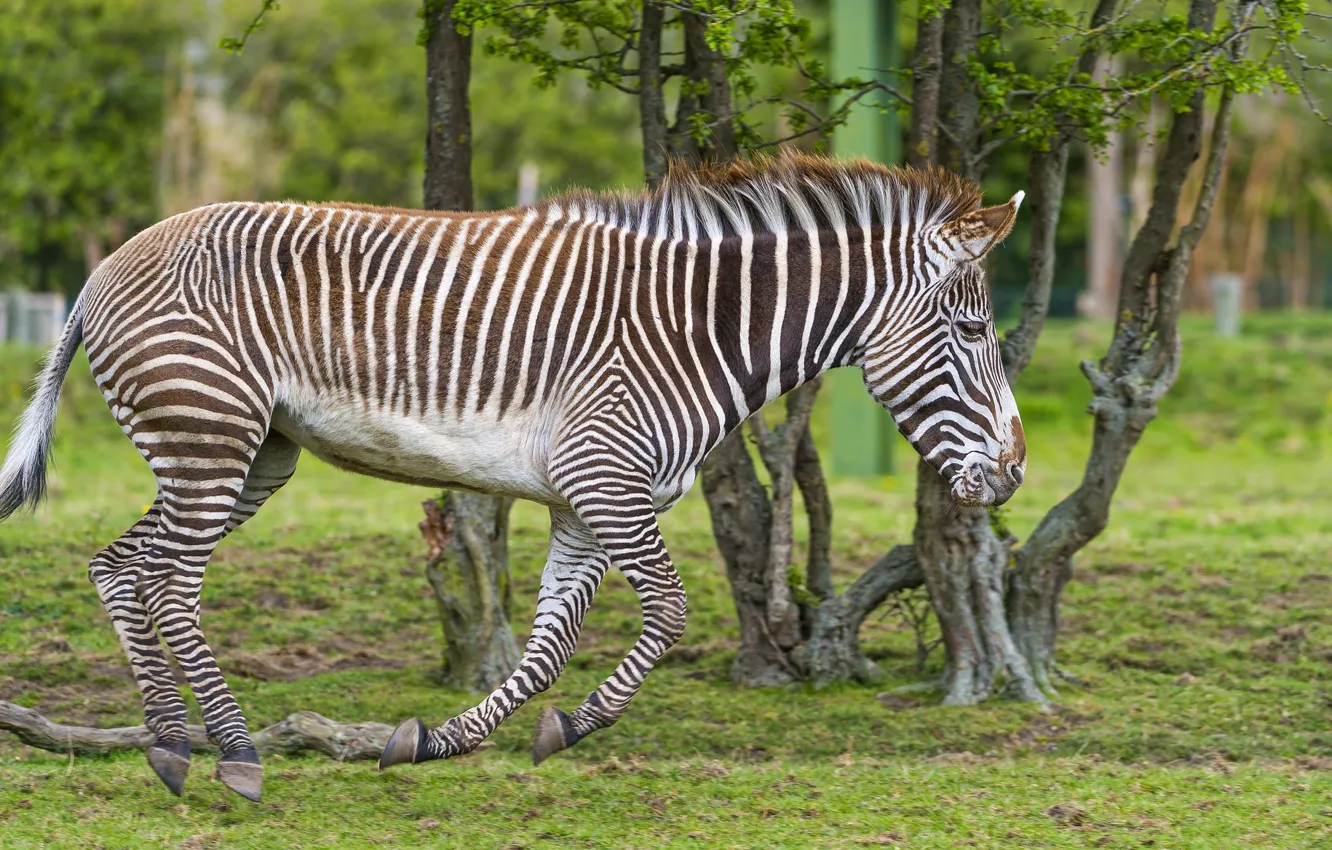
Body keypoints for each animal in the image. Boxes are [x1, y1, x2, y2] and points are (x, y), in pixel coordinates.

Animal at [0, 153, 1025, 801]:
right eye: (974, 330)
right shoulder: (606, 478)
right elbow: (666, 615)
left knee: (119, 567)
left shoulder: (586, 502)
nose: (1014, 474)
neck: (699, 332)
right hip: (209, 435)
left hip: (252, 452)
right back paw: (237, 755)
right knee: (170, 582)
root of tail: (108, 265)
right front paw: (573, 726)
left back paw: (173, 748)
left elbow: (546, 647)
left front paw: (442, 742)